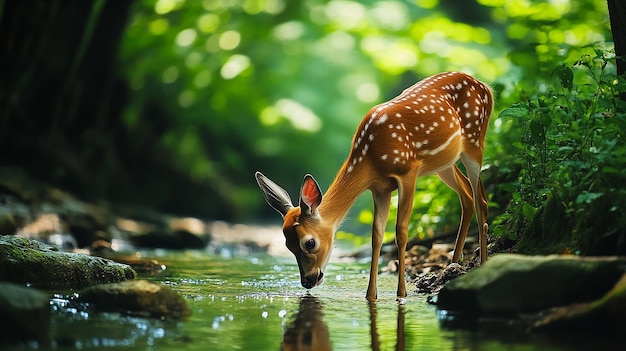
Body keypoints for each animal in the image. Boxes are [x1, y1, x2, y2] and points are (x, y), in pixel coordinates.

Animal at [256, 71, 490, 300]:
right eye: (288, 245)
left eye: (309, 243)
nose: (307, 281)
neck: (371, 157)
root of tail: (484, 86)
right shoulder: (380, 188)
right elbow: (376, 236)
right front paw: (370, 295)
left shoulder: (408, 171)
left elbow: (401, 231)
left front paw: (401, 294)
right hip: (444, 163)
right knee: (467, 195)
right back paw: (453, 266)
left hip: (474, 140)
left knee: (481, 199)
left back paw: (483, 264)